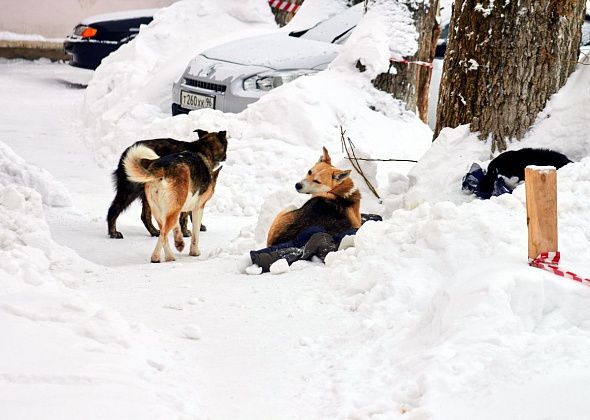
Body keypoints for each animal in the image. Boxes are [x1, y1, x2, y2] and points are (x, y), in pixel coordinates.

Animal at [123, 131, 228, 262]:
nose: (225, 157)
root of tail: (161, 170)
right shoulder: (198, 208)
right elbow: (195, 234)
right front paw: (194, 252)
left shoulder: (176, 209)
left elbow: (177, 227)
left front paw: (179, 242)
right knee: (163, 233)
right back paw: (156, 257)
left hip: (160, 212)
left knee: (164, 232)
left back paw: (170, 256)